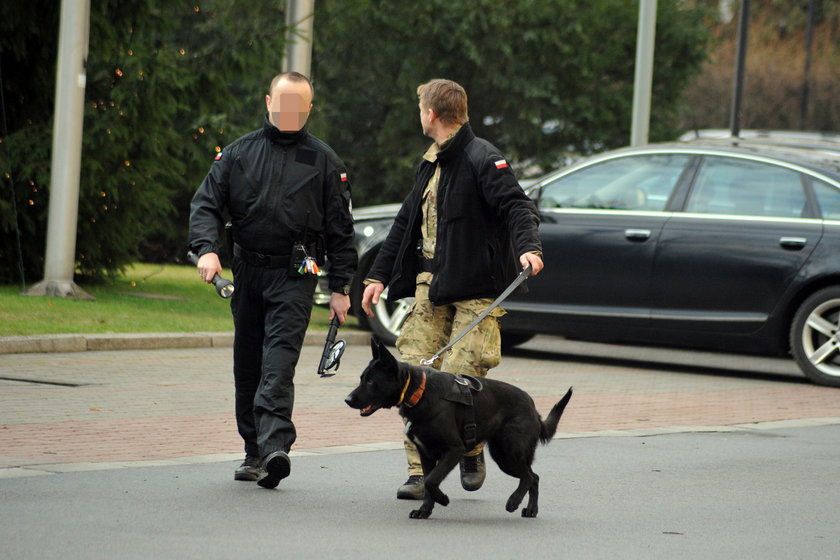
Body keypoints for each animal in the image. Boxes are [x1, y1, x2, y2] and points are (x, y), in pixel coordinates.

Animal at [342, 336, 572, 520]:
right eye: (362, 378)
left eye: (371, 381)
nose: (347, 400)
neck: (419, 392)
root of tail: (533, 408)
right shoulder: (426, 454)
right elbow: (427, 482)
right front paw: (425, 510)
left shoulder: (454, 450)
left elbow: (432, 481)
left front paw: (442, 499)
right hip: (505, 454)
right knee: (534, 477)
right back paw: (531, 510)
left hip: (507, 453)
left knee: (530, 477)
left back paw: (514, 502)